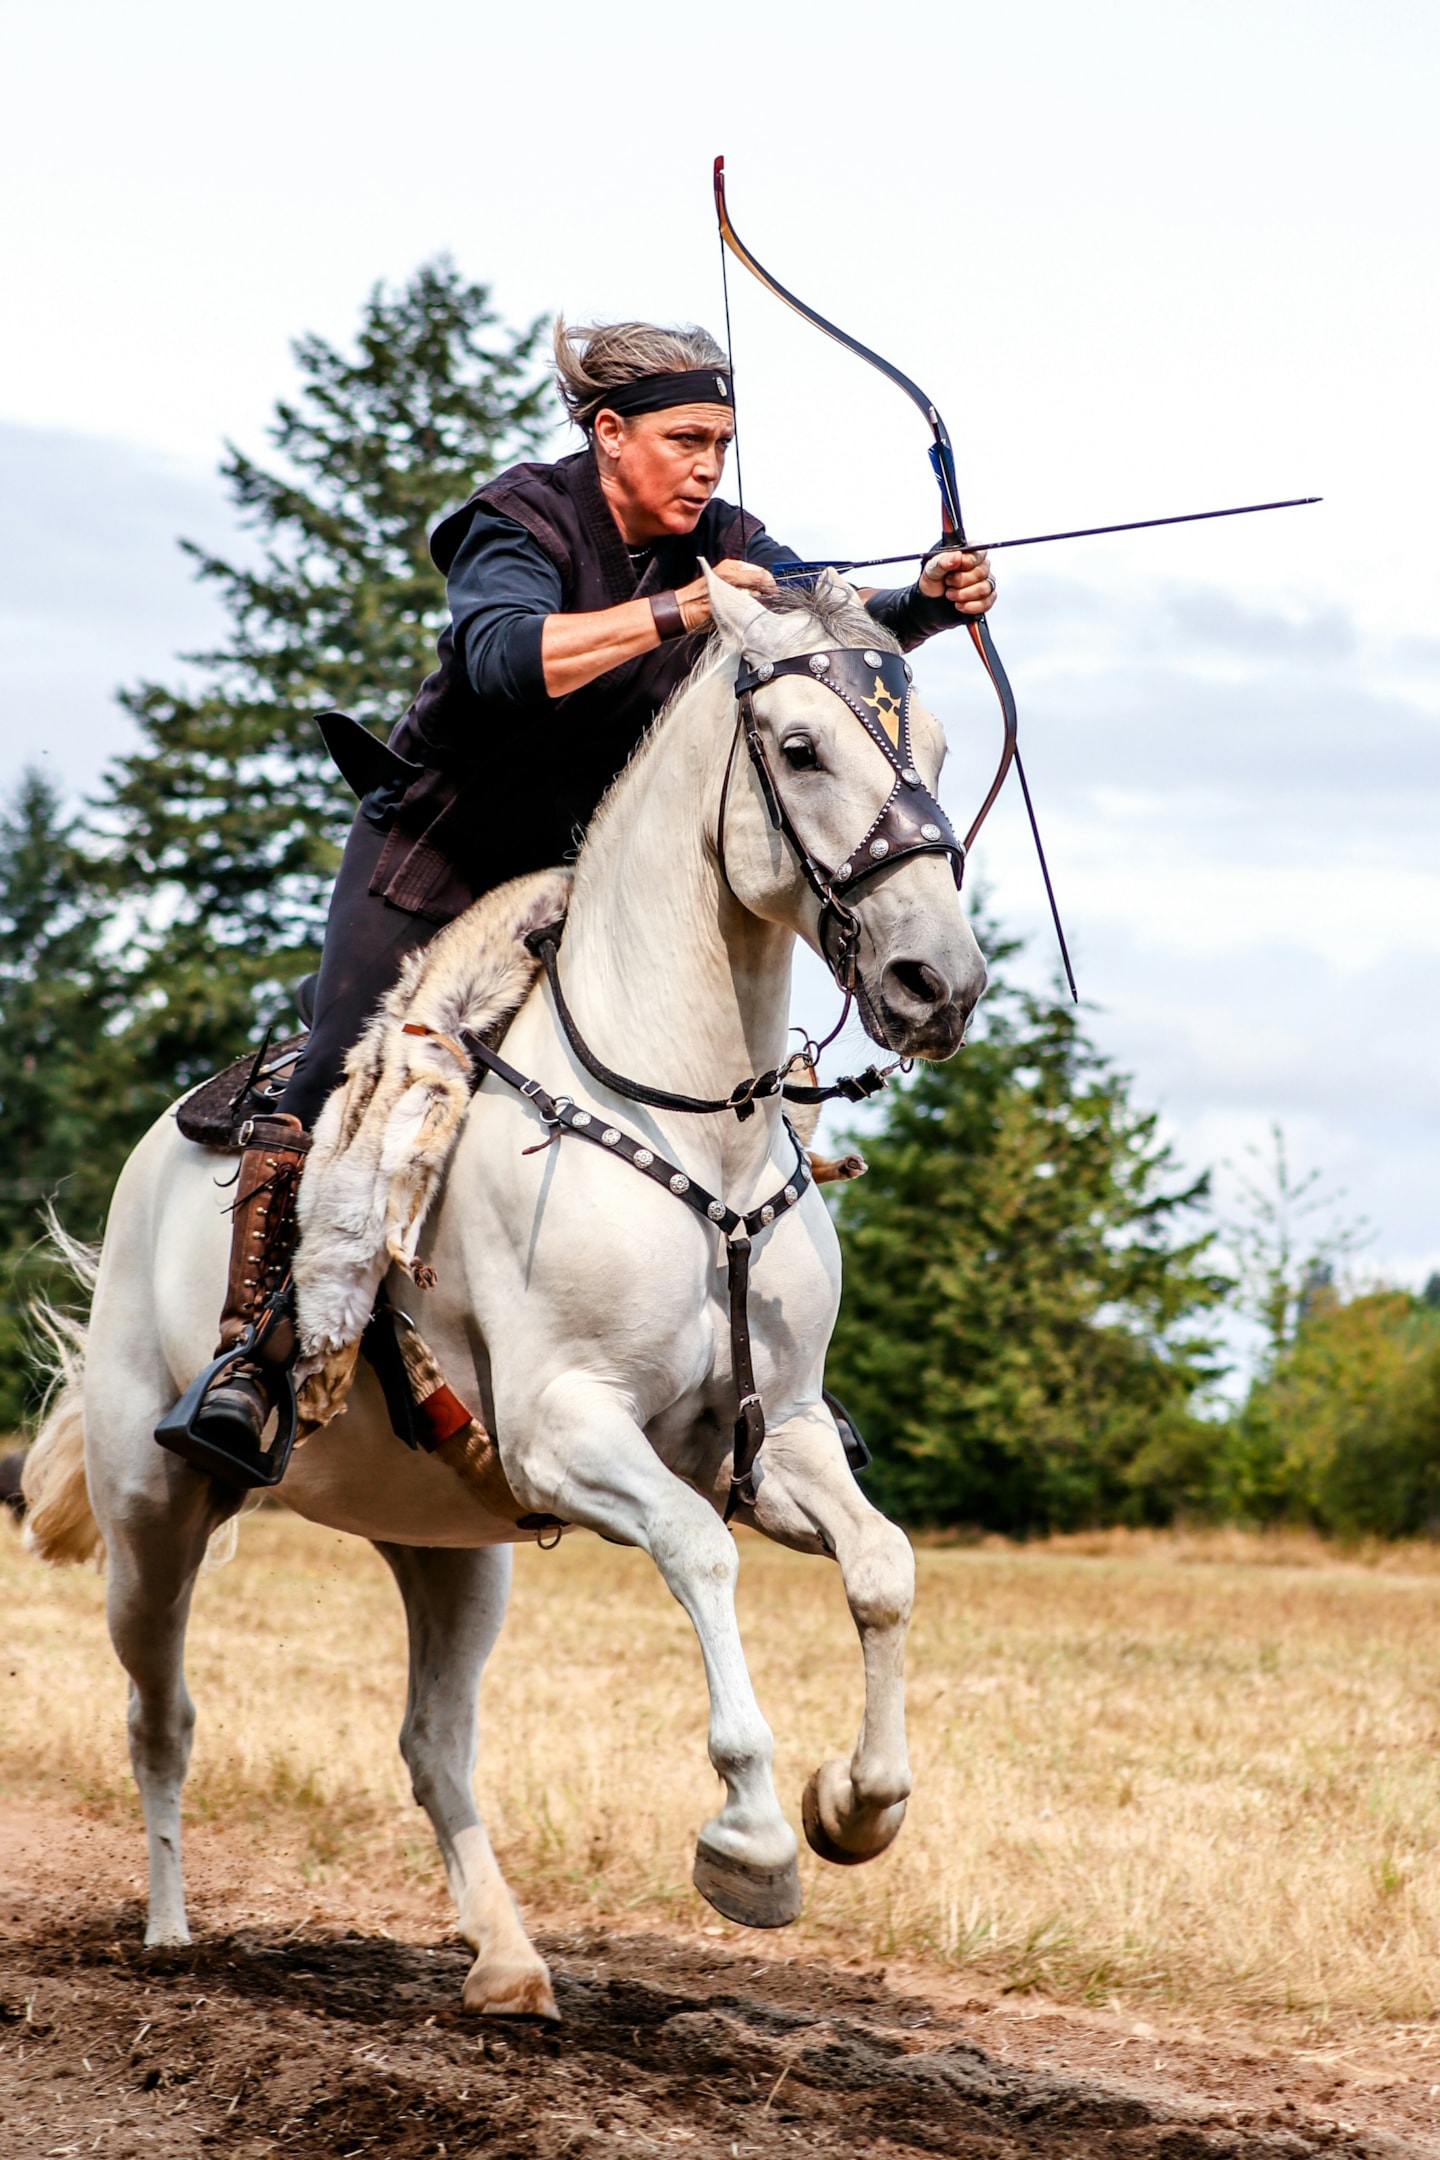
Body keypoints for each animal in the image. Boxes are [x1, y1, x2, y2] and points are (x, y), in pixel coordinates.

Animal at [21, 568, 986, 2018]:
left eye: (934, 749)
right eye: (802, 747)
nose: (939, 982)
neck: (690, 1125)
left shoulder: (781, 1436)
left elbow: (884, 1566)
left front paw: (855, 1805)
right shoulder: (568, 1428)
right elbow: (702, 1553)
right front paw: (753, 1841)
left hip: (448, 1546)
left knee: (432, 1742)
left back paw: (508, 1960)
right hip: (154, 1512)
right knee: (161, 1716)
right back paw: (173, 1936)